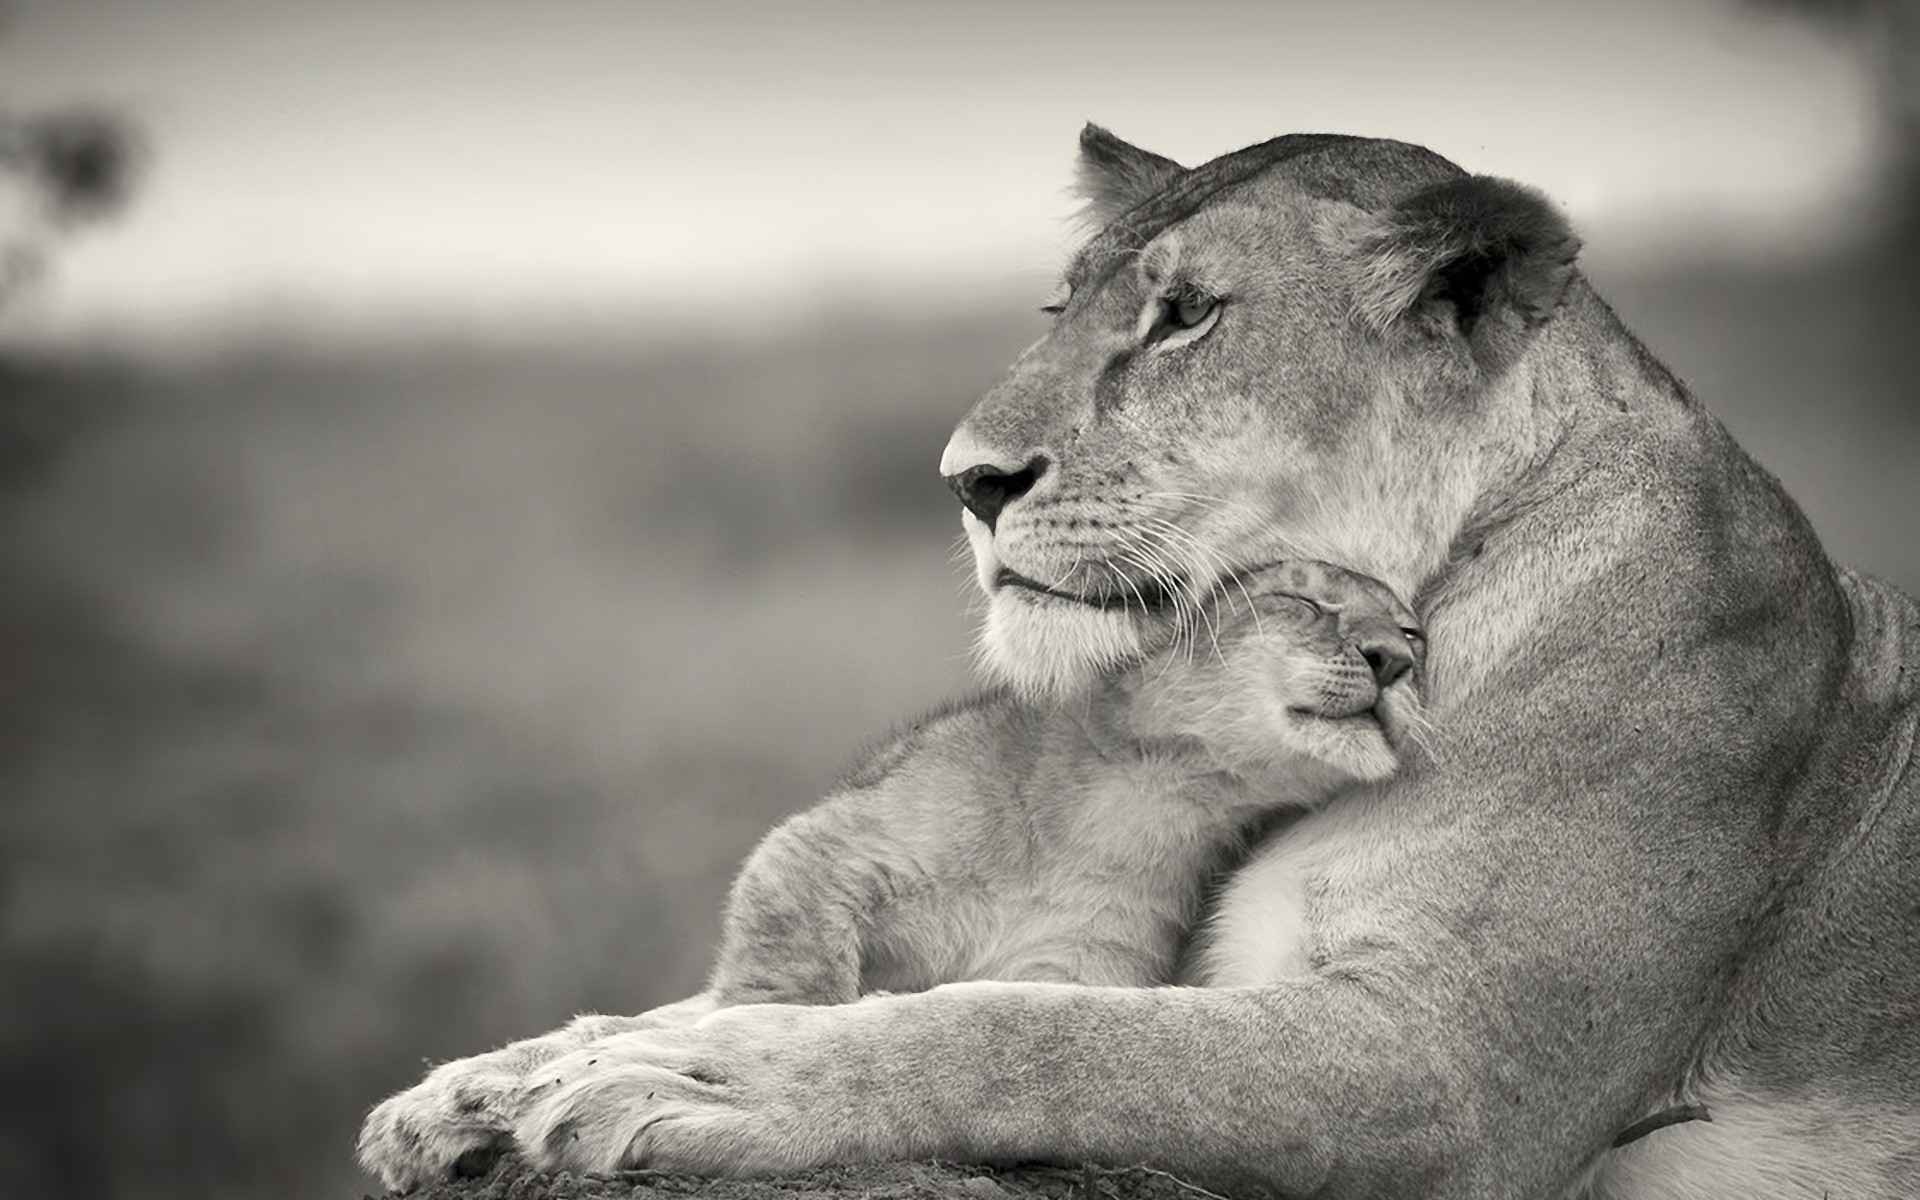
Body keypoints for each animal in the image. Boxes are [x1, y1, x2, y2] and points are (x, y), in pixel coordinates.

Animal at [359, 127, 1920, 1199]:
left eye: (1186, 316)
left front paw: (703, 1079)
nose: (967, 481)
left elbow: (1042, 1035)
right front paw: (484, 1086)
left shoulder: (1458, 1072)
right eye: (1063, 313)